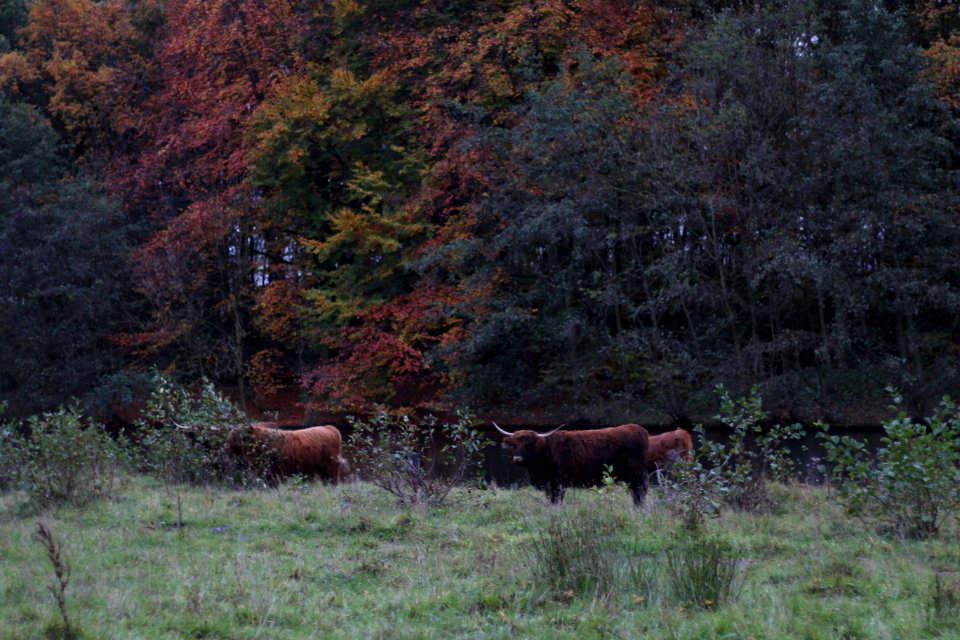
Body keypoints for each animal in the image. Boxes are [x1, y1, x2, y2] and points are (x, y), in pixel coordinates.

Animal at [492, 422, 648, 508]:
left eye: (528, 445)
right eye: (514, 445)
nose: (517, 458)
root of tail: (638, 429)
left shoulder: (557, 483)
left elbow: (556, 501)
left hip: (637, 475)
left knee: (639, 493)